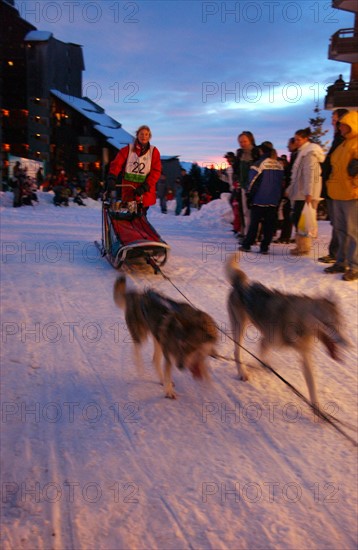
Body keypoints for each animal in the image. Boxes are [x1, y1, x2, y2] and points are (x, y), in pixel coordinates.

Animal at [227, 256, 346, 408]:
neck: (299, 320)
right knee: (237, 352)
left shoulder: (304, 355)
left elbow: (312, 384)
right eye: (327, 324)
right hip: (239, 328)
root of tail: (240, 283)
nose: (344, 342)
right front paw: (256, 367)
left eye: (340, 324)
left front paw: (316, 407)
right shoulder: (266, 340)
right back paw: (242, 372)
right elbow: (259, 358)